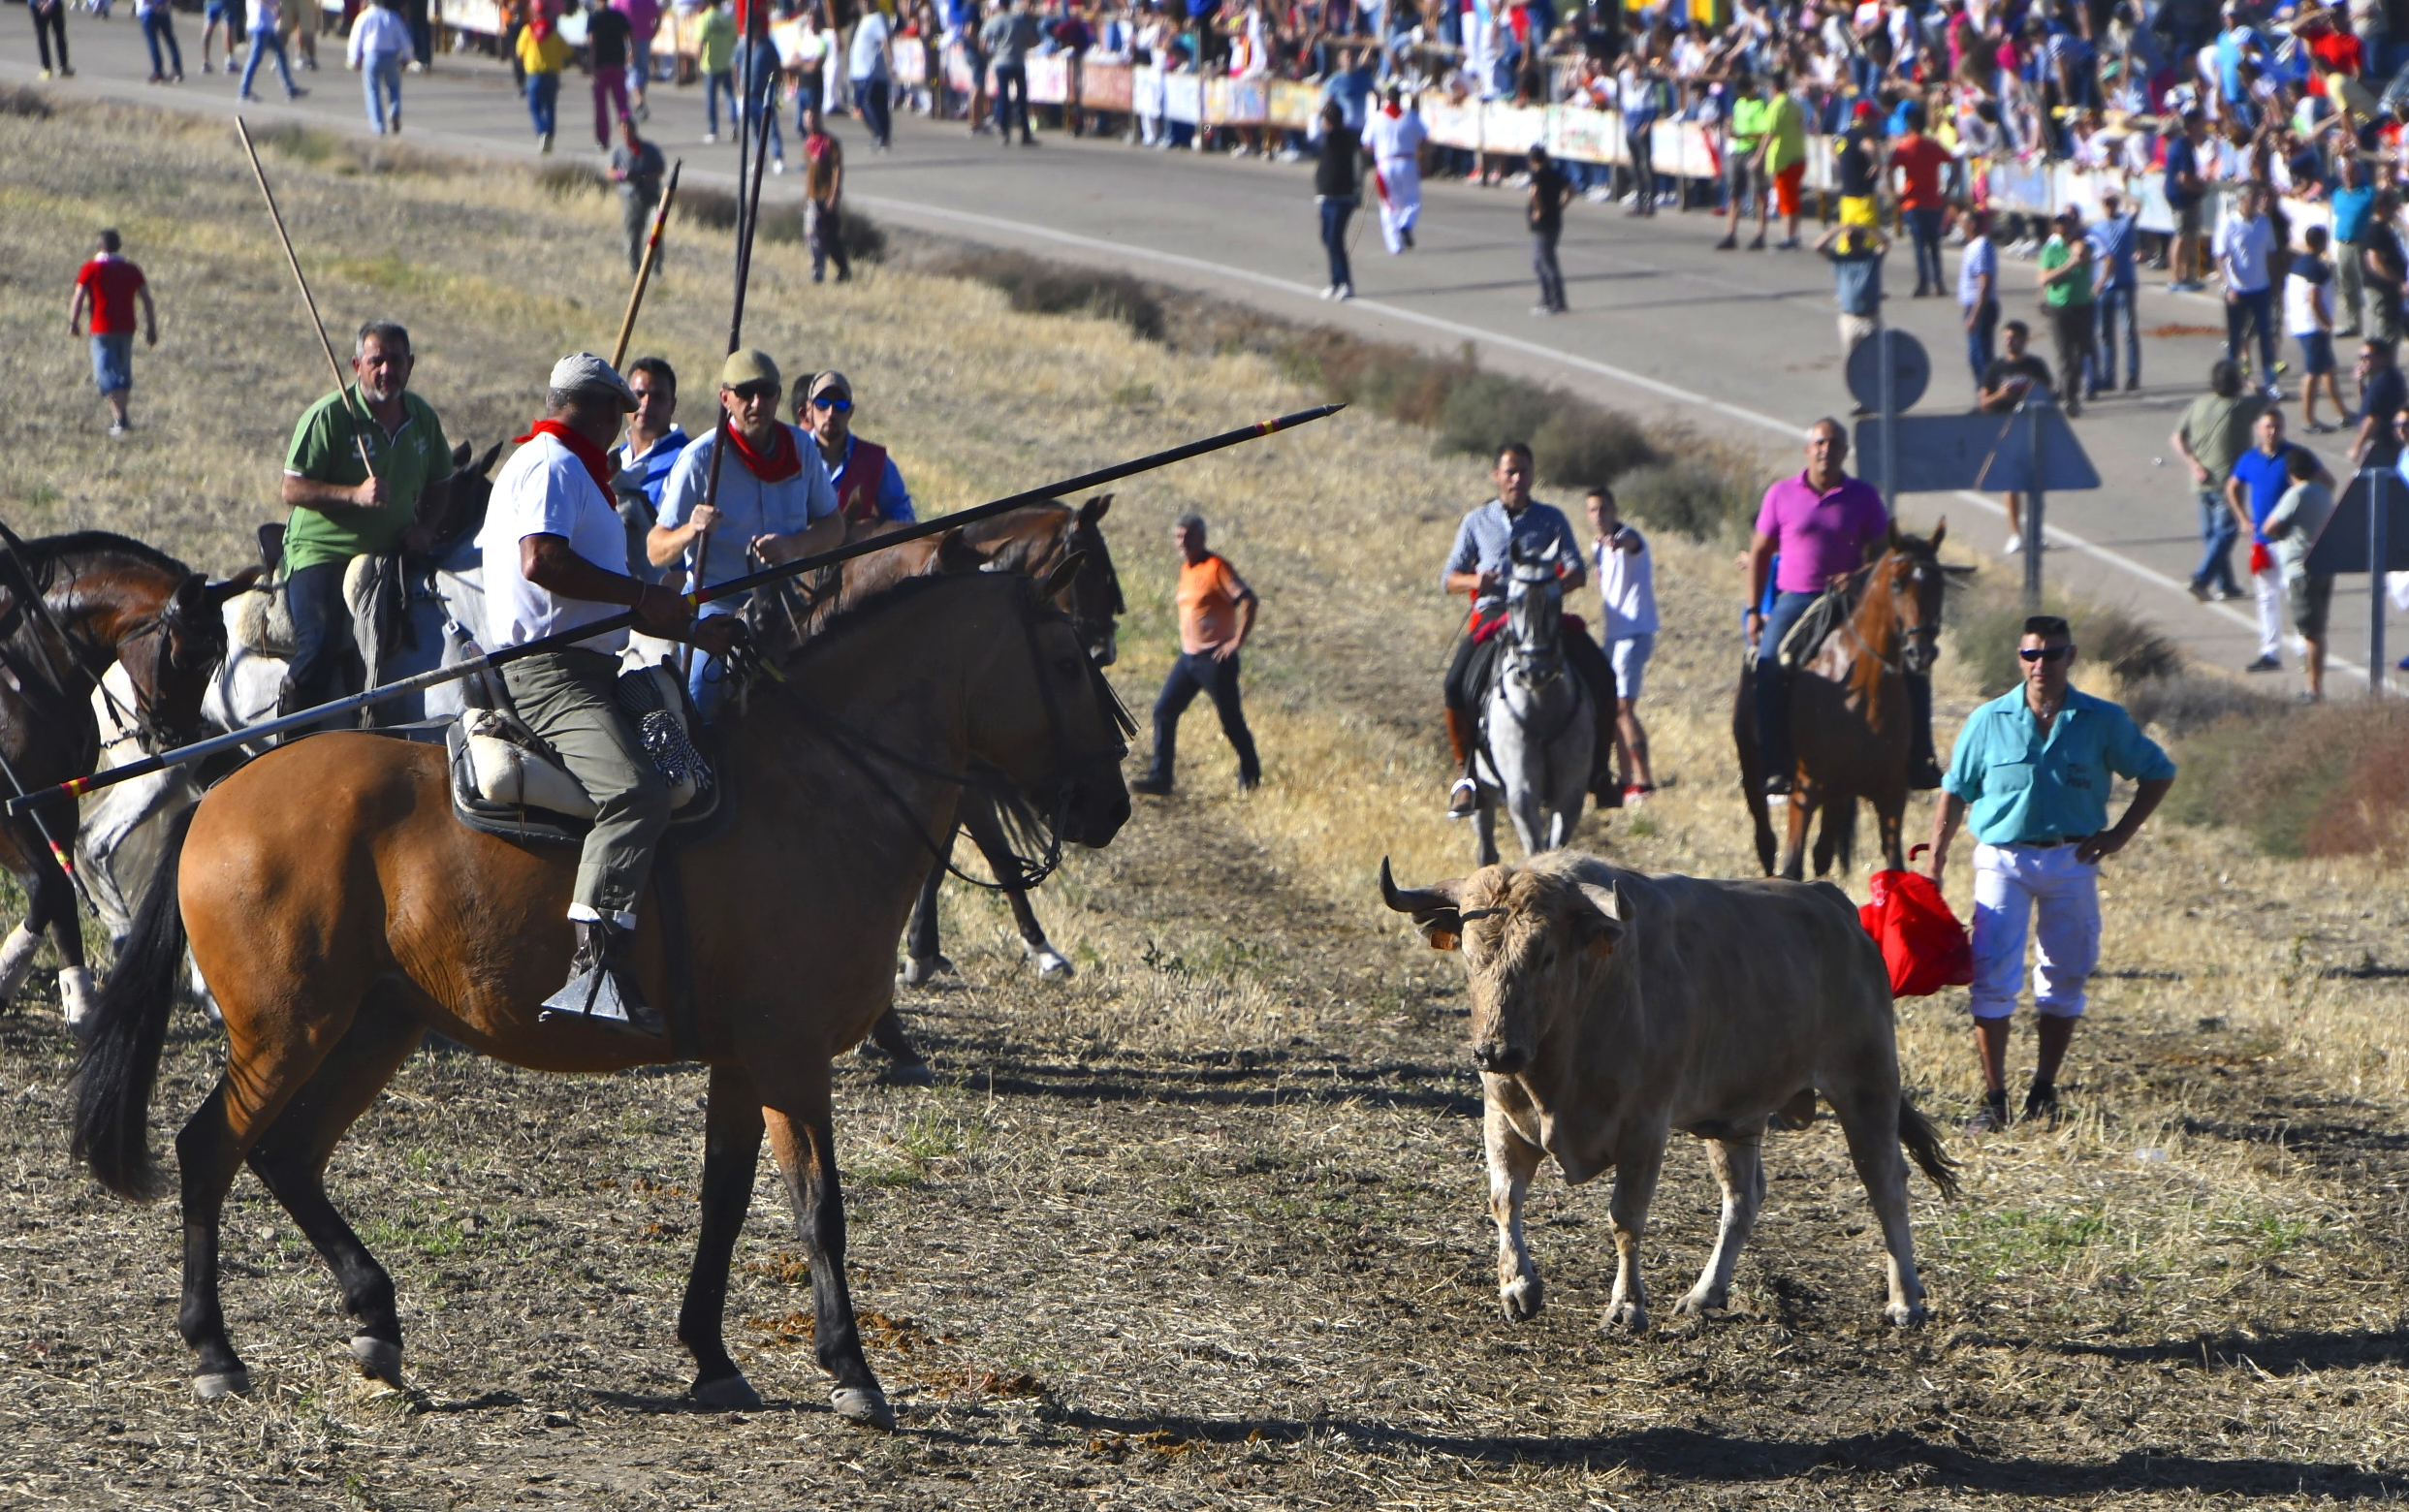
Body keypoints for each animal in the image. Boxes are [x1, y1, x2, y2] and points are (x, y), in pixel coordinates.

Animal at [0, 531, 260, 1024]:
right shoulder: (14, 809)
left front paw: (79, 998)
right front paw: (8, 972)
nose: (182, 739)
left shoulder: (55, 798)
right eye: (181, 658)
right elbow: (48, 885)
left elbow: (60, 891)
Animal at [72, 564, 1132, 1427]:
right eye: (1068, 661)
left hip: (377, 1023)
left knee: (287, 1156)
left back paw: (375, 1323)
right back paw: (215, 1351)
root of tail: (221, 792)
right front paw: (851, 1372)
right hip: (287, 1027)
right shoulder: (790, 1058)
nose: (1110, 805)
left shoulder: (744, 1062)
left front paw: (711, 1358)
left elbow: (725, 1200)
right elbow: (818, 1207)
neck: (813, 788)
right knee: (212, 1148)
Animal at [1469, 536, 1594, 868]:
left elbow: (1555, 845)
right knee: (1486, 845)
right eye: (1514, 602)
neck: (1542, 707)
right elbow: (1536, 847)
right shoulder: (1522, 792)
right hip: (1482, 786)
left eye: (1556, 601)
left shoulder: (1570, 794)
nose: (1535, 670)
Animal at [1734, 524, 1953, 880]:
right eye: (1897, 583)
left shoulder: (1891, 795)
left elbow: (1894, 864)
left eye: (1939, 583)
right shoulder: (1805, 790)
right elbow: (1791, 867)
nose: (1921, 652)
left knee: (1822, 853)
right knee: (1766, 841)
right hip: (1754, 771)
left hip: (1838, 795)